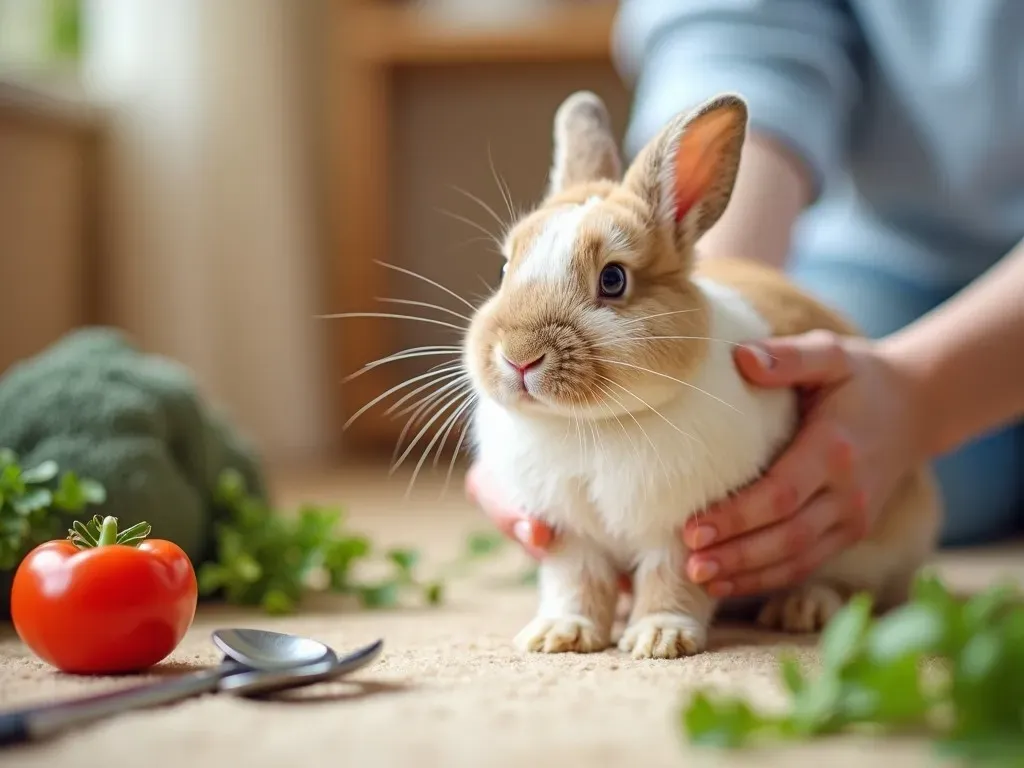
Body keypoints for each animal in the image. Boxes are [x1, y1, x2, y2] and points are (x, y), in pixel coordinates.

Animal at [460, 88, 937, 655]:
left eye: (613, 279)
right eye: (504, 269)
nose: (519, 356)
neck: (593, 424)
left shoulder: (686, 532)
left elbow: (673, 582)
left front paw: (658, 638)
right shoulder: (568, 537)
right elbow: (575, 584)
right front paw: (560, 635)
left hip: (868, 545)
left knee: (853, 588)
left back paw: (801, 608)